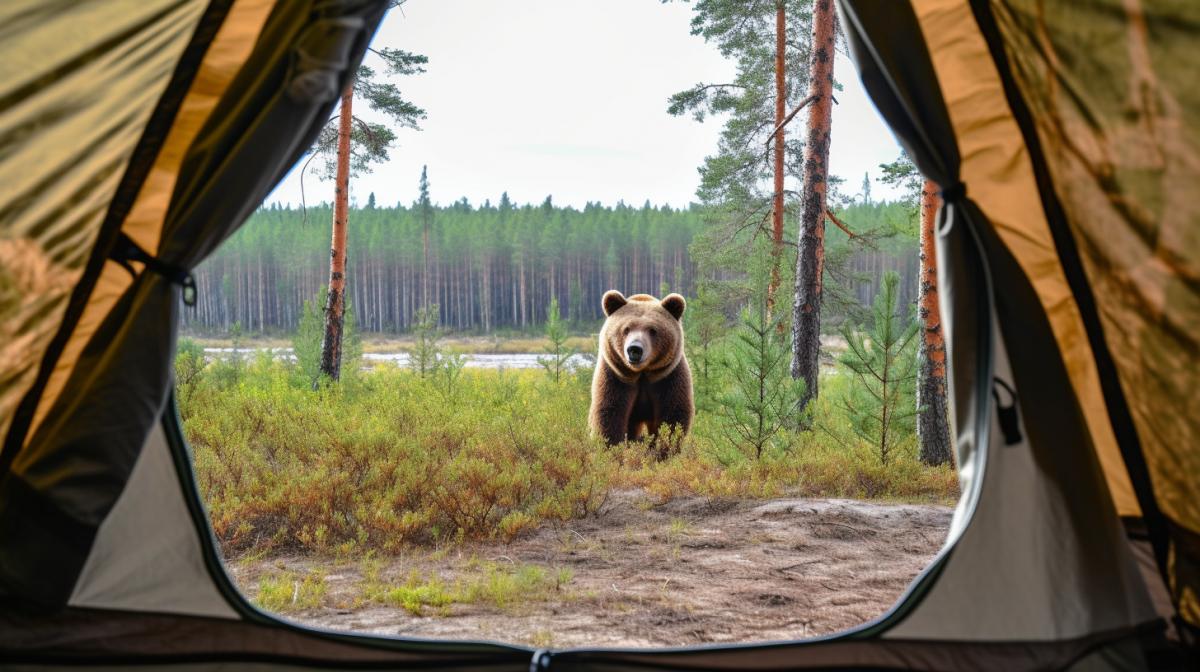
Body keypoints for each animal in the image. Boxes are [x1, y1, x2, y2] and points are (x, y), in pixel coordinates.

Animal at [588, 290, 694, 458]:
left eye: (653, 330)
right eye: (626, 329)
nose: (635, 349)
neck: (642, 373)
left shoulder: (669, 378)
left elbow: (672, 417)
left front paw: (662, 451)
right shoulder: (616, 377)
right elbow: (610, 414)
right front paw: (612, 451)